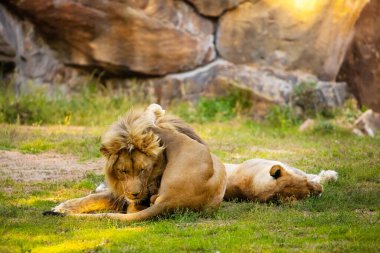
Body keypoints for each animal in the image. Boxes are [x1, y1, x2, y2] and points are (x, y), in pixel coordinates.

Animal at [45, 104, 227, 220]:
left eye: (143, 170)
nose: (134, 194)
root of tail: (172, 200)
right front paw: (61, 207)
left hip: (184, 143)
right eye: (123, 171)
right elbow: (92, 198)